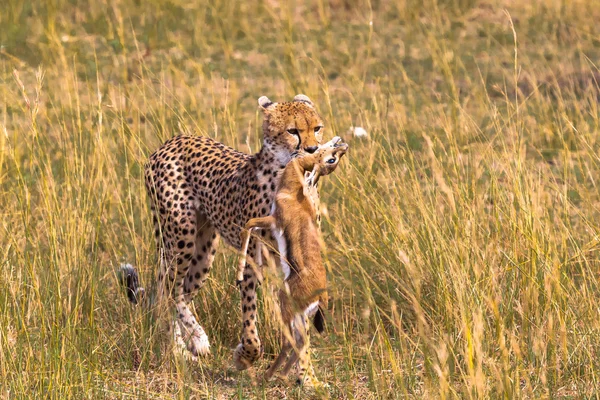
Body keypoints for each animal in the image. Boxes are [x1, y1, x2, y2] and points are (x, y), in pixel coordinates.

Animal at [141, 94, 326, 366]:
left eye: (317, 128)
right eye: (293, 131)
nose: (313, 150)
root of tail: (171, 141)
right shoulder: (251, 257)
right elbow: (249, 315)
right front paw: (247, 354)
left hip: (204, 251)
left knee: (182, 290)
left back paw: (189, 342)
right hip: (180, 239)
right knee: (169, 290)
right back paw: (186, 344)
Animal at [239, 137, 350, 384]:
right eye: (333, 159)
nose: (343, 145)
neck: (294, 191)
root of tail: (320, 297)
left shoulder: (273, 219)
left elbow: (248, 225)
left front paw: (240, 274)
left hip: (286, 307)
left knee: (289, 342)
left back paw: (267, 376)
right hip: (300, 317)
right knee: (301, 342)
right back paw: (286, 376)